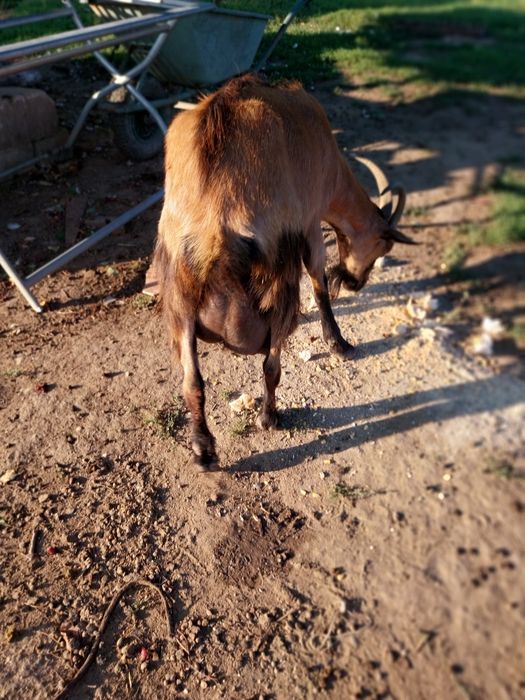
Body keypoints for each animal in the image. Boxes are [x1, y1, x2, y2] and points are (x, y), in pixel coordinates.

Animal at [153, 75, 414, 470]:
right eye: (383, 247)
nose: (356, 283)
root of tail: (216, 229)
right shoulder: (309, 223)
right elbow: (318, 281)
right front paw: (338, 343)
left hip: (180, 283)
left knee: (192, 380)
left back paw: (204, 450)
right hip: (277, 278)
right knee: (271, 362)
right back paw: (269, 416)